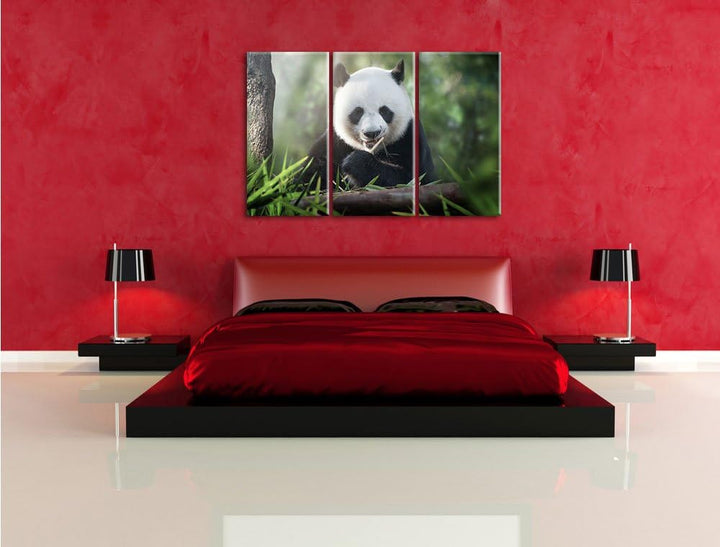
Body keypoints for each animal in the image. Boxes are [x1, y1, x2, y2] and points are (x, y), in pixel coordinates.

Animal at [302, 59, 435, 189]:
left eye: (384, 111)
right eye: (358, 112)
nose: (372, 133)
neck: (373, 149)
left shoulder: (409, 138)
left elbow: (413, 178)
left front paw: (355, 163)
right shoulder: (336, 142)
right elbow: (309, 175)